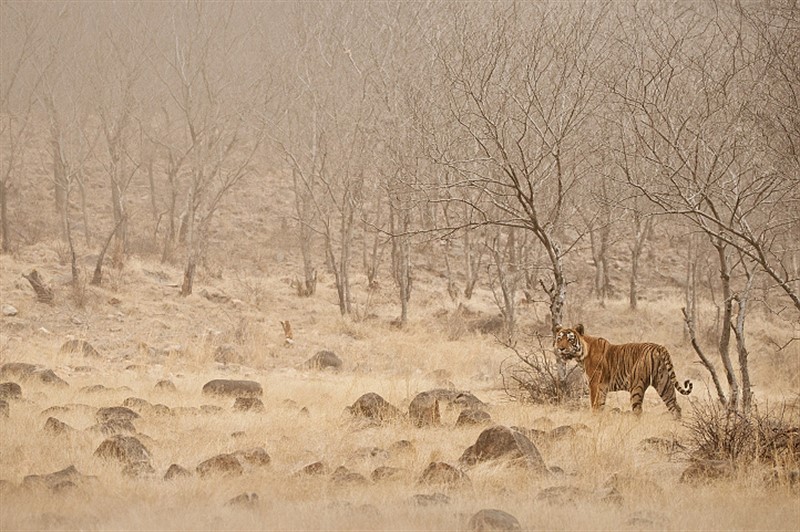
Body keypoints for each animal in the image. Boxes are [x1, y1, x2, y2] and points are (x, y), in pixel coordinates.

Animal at [552, 322, 692, 418]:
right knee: (675, 407)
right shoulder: (602, 388)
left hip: (637, 385)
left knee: (638, 410)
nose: (561, 348)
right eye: (559, 339)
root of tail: (660, 348)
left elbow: (594, 406)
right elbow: (600, 406)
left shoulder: (594, 384)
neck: (581, 355)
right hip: (664, 383)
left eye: (570, 339)